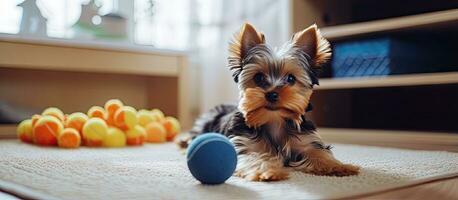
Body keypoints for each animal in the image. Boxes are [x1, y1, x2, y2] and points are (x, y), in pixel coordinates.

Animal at [177, 22, 360, 180]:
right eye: (258, 77)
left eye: (291, 78)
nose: (272, 94)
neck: (274, 120)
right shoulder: (245, 144)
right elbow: (253, 157)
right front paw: (266, 171)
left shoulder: (307, 141)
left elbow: (320, 152)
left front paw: (340, 166)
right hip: (205, 122)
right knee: (193, 134)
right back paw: (182, 142)